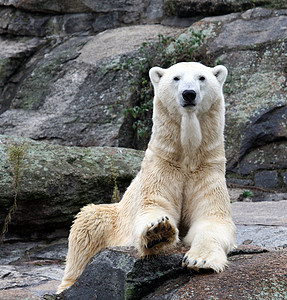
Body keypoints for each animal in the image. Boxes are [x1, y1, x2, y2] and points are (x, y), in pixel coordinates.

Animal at [58, 62, 236, 294]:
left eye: (202, 78)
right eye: (176, 78)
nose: (189, 94)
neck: (187, 157)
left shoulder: (207, 170)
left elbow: (212, 219)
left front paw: (201, 261)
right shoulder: (161, 167)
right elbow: (153, 205)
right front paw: (158, 231)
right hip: (113, 217)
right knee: (86, 227)